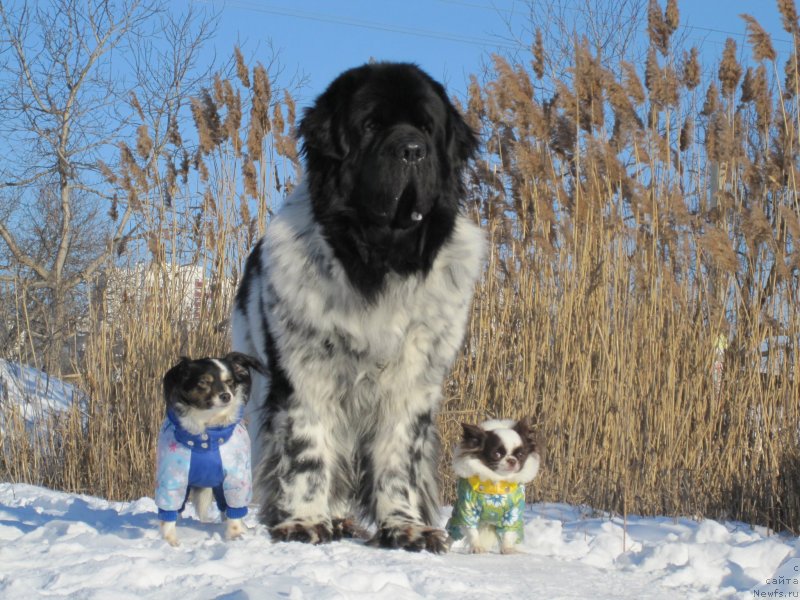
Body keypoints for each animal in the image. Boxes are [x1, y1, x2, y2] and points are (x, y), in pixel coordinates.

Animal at [228, 62, 484, 552]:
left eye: (427, 127)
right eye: (369, 126)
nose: (412, 151)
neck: (378, 263)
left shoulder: (412, 382)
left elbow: (399, 460)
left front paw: (405, 526)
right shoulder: (303, 373)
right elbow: (306, 451)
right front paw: (304, 521)